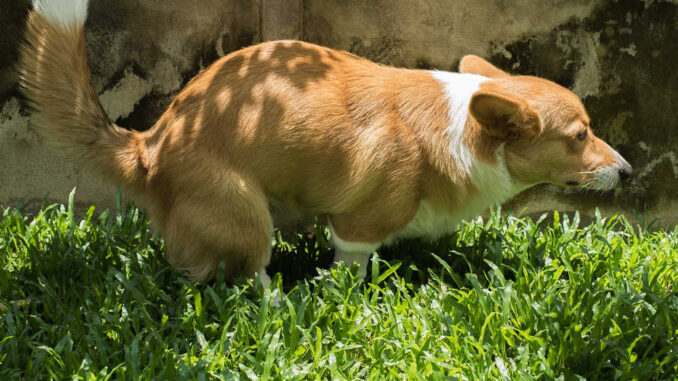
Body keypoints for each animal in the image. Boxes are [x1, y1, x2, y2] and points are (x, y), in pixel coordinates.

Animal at [22, 0, 636, 284]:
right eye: (579, 135)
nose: (629, 172)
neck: (466, 129)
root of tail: (149, 144)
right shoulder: (356, 229)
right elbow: (351, 271)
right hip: (245, 211)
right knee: (243, 272)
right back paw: (272, 303)